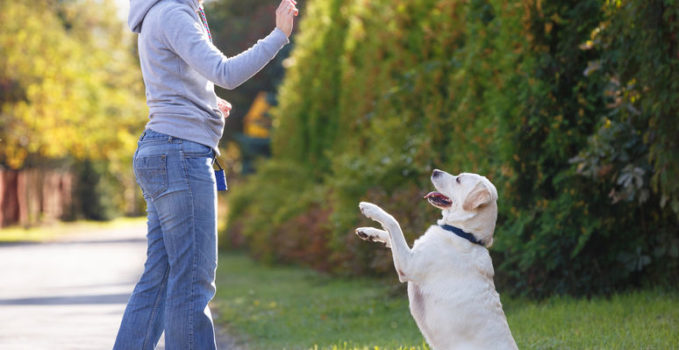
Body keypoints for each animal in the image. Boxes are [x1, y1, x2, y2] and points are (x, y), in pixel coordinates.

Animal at [356, 168, 516, 348]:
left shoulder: (408, 265)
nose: (435, 171)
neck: (464, 234)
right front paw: (368, 232)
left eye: (458, 179)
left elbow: (393, 223)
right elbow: (390, 234)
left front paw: (370, 208)